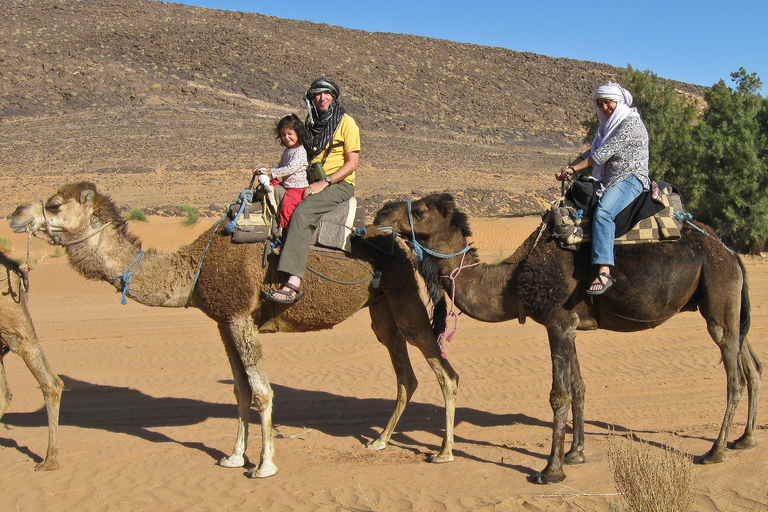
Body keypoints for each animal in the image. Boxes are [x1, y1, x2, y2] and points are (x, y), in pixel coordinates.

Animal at [7, 182, 462, 478]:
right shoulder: (224, 321)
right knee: (405, 373)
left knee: (444, 370)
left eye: (53, 204)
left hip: (404, 296)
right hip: (381, 308)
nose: (14, 214)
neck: (195, 267)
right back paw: (380, 441)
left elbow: (262, 392)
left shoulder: (241, 316)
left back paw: (443, 453)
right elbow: (240, 391)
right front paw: (233, 456)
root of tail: (403, 244)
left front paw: (264, 465)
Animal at [374, 192, 760, 484]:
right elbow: (579, 386)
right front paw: (576, 454)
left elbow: (558, 394)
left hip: (719, 293)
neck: (513, 280)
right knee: (752, 364)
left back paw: (715, 452)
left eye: (420, 210)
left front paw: (551, 470)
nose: (380, 212)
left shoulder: (557, 322)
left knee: (735, 377)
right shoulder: (571, 325)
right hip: (726, 303)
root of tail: (732, 252)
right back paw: (745, 440)